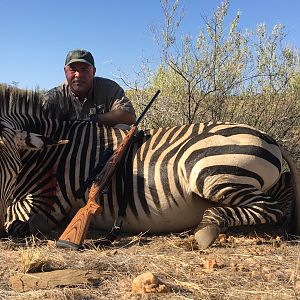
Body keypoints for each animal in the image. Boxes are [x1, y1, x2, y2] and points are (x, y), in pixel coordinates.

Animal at [0, 86, 298, 248]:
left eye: (11, 171)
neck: (53, 151)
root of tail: (268, 137)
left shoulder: (47, 204)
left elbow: (18, 223)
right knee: (281, 195)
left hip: (206, 170)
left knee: (270, 208)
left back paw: (207, 228)